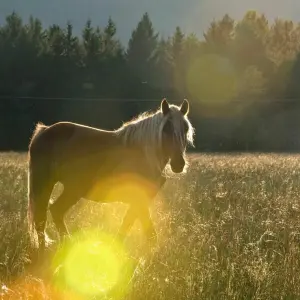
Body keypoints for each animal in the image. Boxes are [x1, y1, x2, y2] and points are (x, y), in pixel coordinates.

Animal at [27, 99, 196, 253]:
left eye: (186, 128)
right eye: (166, 129)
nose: (178, 164)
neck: (144, 153)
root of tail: (45, 131)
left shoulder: (139, 202)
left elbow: (130, 226)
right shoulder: (139, 200)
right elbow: (145, 232)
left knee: (46, 216)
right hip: (67, 189)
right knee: (50, 214)